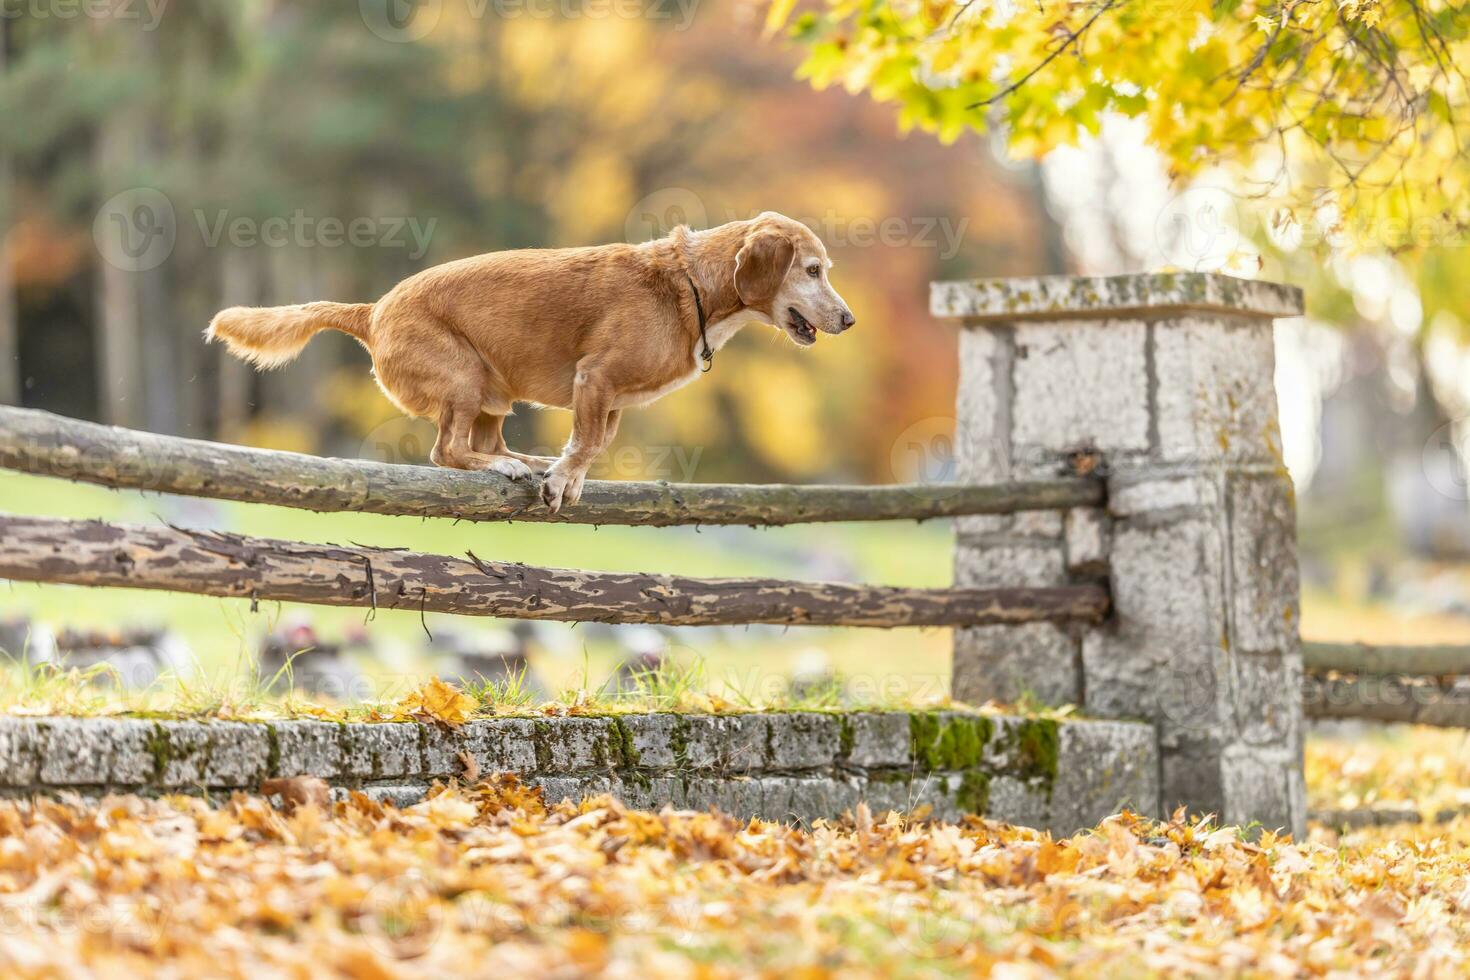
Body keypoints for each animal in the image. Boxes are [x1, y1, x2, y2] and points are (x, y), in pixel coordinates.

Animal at [201, 213, 858, 514]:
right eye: (813, 270)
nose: (851, 321)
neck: (694, 285)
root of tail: (372, 310)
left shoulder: (611, 402)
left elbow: (592, 444)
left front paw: (566, 474)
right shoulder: (595, 379)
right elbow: (585, 442)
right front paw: (562, 481)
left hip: (496, 395)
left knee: (483, 444)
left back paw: (523, 460)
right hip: (463, 382)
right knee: (448, 453)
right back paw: (510, 469)